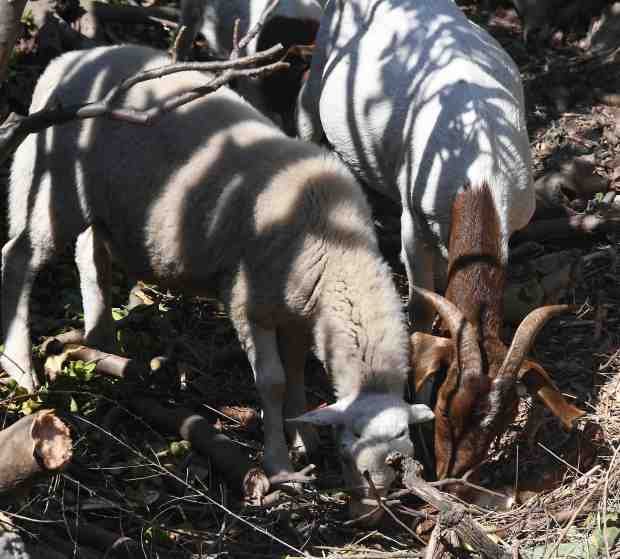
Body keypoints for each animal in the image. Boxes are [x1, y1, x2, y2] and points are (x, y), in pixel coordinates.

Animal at [2, 44, 434, 520]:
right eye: (353, 443)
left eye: (402, 451)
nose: (370, 508)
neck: (337, 247)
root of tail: (71, 58)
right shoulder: (248, 302)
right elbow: (273, 382)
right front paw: (279, 463)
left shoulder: (298, 311)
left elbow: (297, 372)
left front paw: (303, 435)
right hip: (51, 185)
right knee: (18, 258)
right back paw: (21, 370)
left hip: (102, 203)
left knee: (91, 257)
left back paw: (104, 346)